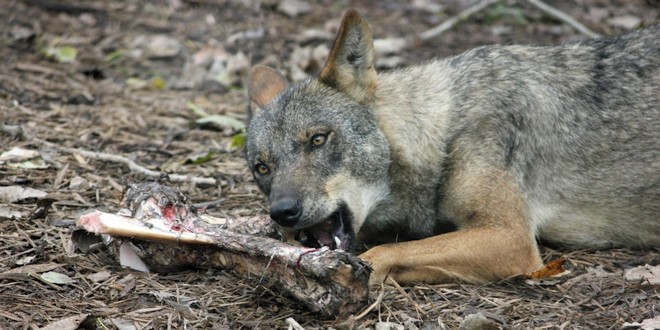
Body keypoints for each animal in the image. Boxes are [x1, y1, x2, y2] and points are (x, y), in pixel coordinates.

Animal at [244, 9, 660, 284]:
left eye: (318, 139)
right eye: (262, 168)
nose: (282, 212)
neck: (444, 133)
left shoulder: (510, 238)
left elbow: (385, 253)